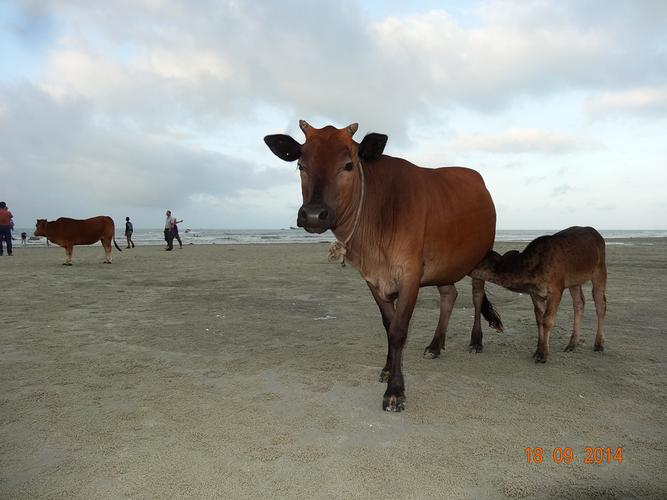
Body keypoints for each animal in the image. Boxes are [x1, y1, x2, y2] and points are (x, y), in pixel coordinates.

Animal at [264, 121, 504, 410]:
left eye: (348, 165)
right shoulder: (372, 278)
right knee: (449, 295)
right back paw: (435, 346)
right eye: (301, 165)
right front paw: (388, 370)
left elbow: (399, 330)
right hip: (446, 264)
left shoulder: (411, 273)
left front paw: (395, 391)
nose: (312, 214)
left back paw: (476, 341)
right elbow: (388, 325)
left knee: (477, 295)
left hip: (481, 253)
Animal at [472, 225, 608, 362]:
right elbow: (539, 319)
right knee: (579, 302)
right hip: (574, 280)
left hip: (600, 268)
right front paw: (538, 351)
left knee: (600, 304)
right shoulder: (535, 293)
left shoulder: (556, 288)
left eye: (478, 261)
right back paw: (572, 344)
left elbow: (547, 320)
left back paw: (599, 344)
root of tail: (598, 234)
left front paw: (543, 355)